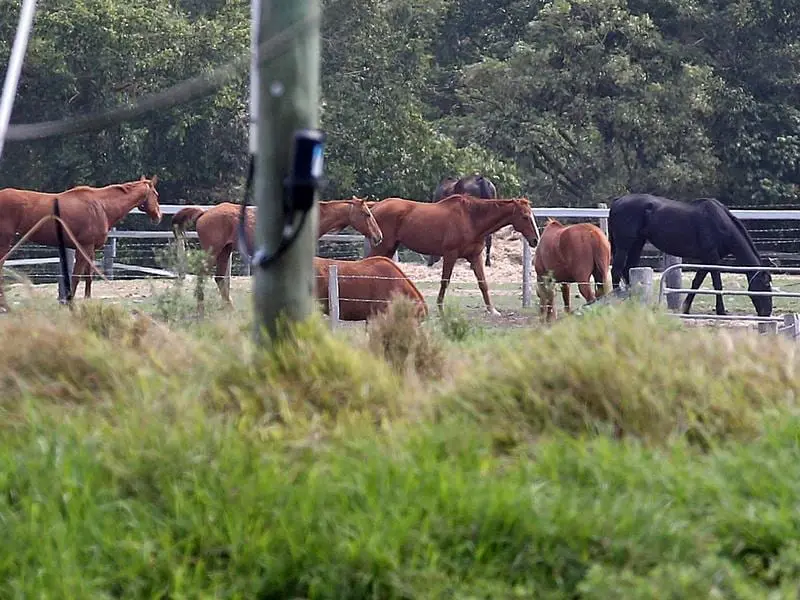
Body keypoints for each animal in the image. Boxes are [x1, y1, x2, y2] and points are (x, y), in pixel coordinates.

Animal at [0, 171, 162, 308]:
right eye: (155, 194)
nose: (158, 216)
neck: (101, 206)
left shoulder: (89, 249)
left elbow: (88, 276)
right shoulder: (84, 246)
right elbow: (76, 277)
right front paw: (69, 303)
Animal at [170, 196, 382, 302]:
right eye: (366, 213)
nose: (378, 236)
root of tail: (204, 213)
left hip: (224, 252)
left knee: (220, 280)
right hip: (212, 252)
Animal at [366, 193, 540, 316]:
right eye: (525, 216)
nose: (535, 240)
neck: (471, 219)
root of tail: (376, 206)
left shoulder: (475, 256)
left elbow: (483, 283)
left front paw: (492, 310)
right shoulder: (450, 255)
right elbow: (445, 281)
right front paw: (440, 308)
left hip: (389, 249)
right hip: (382, 247)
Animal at [608, 193, 772, 316]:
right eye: (765, 286)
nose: (767, 312)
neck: (720, 223)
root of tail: (617, 202)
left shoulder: (707, 259)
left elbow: (696, 283)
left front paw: (685, 308)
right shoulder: (712, 258)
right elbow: (717, 284)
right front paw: (721, 311)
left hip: (637, 243)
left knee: (628, 269)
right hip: (624, 246)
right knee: (616, 270)